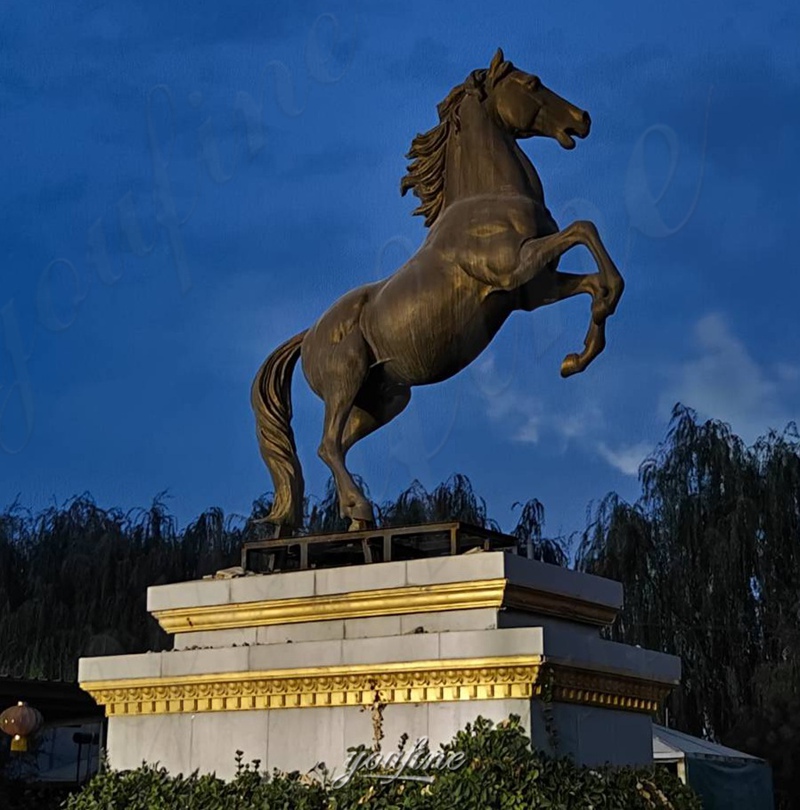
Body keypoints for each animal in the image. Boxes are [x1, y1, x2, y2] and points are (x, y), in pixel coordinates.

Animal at [250, 47, 624, 532]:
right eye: (532, 83)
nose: (582, 118)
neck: (488, 200)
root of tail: (308, 335)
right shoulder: (514, 268)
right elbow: (585, 228)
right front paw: (583, 345)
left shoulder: (532, 290)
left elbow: (593, 281)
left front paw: (575, 359)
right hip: (345, 382)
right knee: (327, 444)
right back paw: (361, 509)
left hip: (385, 399)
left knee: (341, 445)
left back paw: (354, 521)